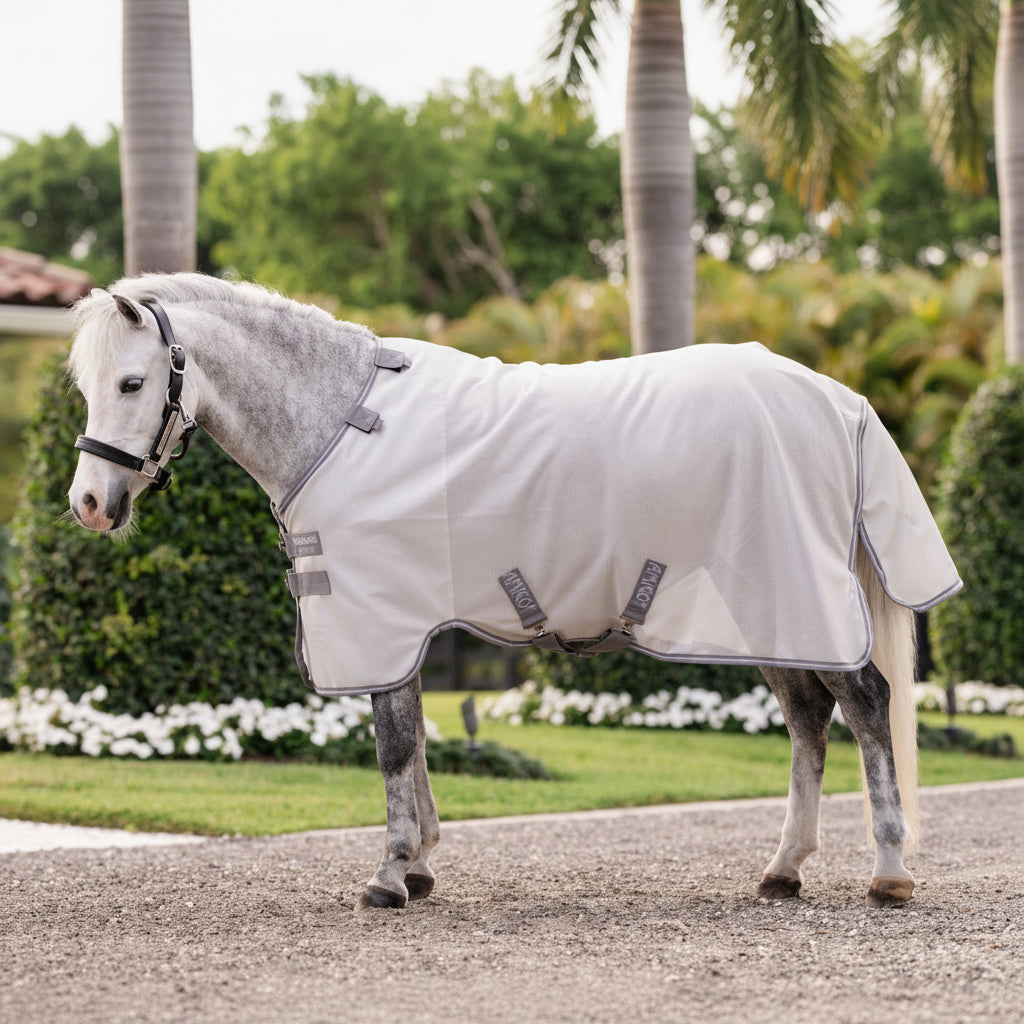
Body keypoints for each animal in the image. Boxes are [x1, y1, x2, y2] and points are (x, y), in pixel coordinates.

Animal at [67, 273, 962, 911]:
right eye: (85, 384)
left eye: (133, 383)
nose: (89, 505)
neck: (340, 423)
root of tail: (838, 400)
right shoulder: (406, 627)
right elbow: (416, 743)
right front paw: (420, 866)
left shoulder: (380, 620)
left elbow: (393, 746)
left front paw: (389, 876)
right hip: (770, 611)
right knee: (810, 720)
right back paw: (783, 870)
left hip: (797, 597)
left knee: (867, 706)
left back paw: (888, 871)